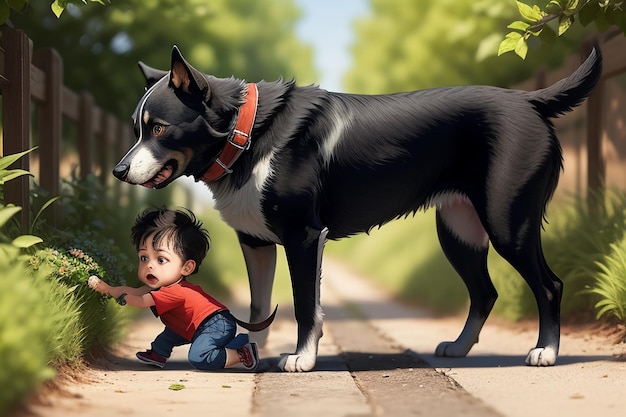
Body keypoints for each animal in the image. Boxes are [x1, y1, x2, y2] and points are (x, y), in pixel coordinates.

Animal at [112, 45, 600, 370]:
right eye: (136, 130)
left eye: (159, 128)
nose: (118, 170)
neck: (246, 132)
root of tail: (527, 99)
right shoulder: (256, 244)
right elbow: (258, 306)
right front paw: (249, 354)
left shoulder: (304, 237)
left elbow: (306, 306)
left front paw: (301, 360)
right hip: (458, 231)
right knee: (485, 292)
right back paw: (459, 349)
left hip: (508, 223)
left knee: (550, 285)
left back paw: (546, 352)